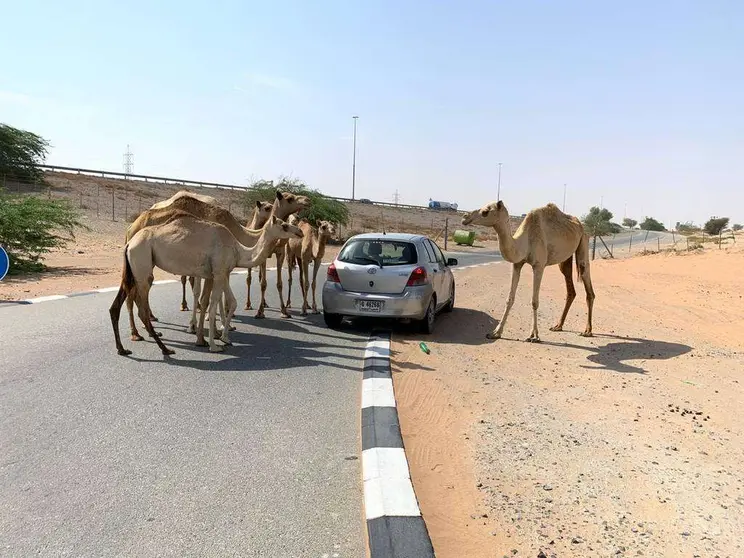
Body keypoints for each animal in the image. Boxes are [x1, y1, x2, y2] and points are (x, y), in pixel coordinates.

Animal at [110, 212, 302, 356]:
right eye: (284, 225)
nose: (300, 231)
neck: (238, 250)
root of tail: (129, 243)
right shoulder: (219, 271)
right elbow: (214, 304)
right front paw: (214, 345)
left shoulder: (218, 273)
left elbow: (228, 302)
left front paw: (222, 338)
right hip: (142, 265)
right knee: (141, 307)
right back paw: (165, 348)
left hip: (132, 269)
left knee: (117, 305)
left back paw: (123, 349)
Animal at [462, 199, 596, 344]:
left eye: (485, 212)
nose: (465, 217)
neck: (524, 241)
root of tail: (581, 225)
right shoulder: (517, 264)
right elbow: (509, 299)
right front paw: (496, 333)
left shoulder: (539, 266)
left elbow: (534, 301)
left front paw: (534, 335)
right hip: (565, 259)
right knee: (570, 287)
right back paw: (558, 326)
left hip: (583, 241)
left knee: (586, 277)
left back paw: (587, 331)